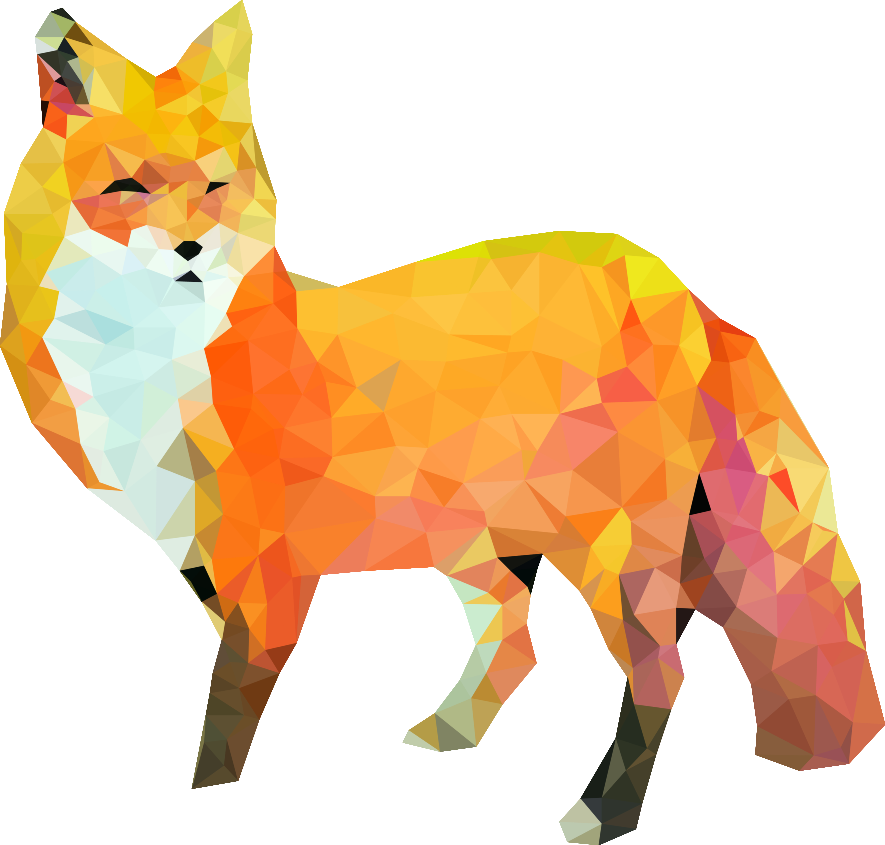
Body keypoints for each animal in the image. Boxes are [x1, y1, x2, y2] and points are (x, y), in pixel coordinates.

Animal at [3, 4, 883, 842]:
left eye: (217, 186)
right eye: (127, 188)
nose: (191, 248)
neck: (153, 376)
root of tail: (674, 281)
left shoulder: (267, 572)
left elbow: (225, 723)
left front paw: (209, 795)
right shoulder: (205, 569)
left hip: (605, 547)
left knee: (666, 667)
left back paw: (605, 814)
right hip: (484, 536)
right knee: (540, 620)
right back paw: (459, 730)